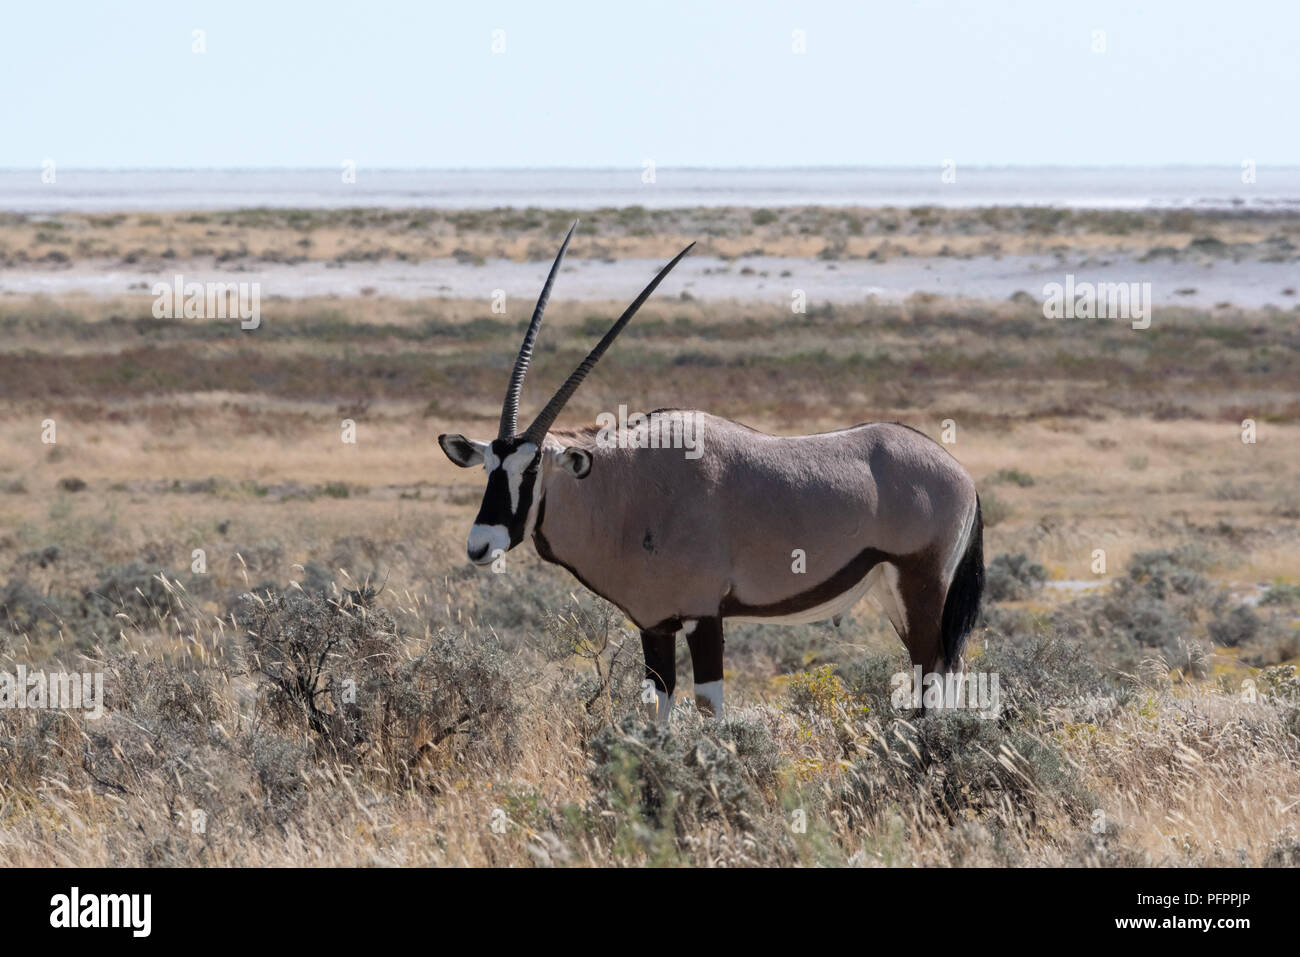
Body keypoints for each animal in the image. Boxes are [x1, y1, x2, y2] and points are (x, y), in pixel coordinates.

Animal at [441, 223, 977, 717]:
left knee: (932, 674)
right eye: (489, 467)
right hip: (894, 593)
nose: (480, 545)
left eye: (531, 471)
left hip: (921, 585)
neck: (625, 487)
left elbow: (709, 707)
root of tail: (962, 477)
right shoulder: (654, 623)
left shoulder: (704, 615)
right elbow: (657, 706)